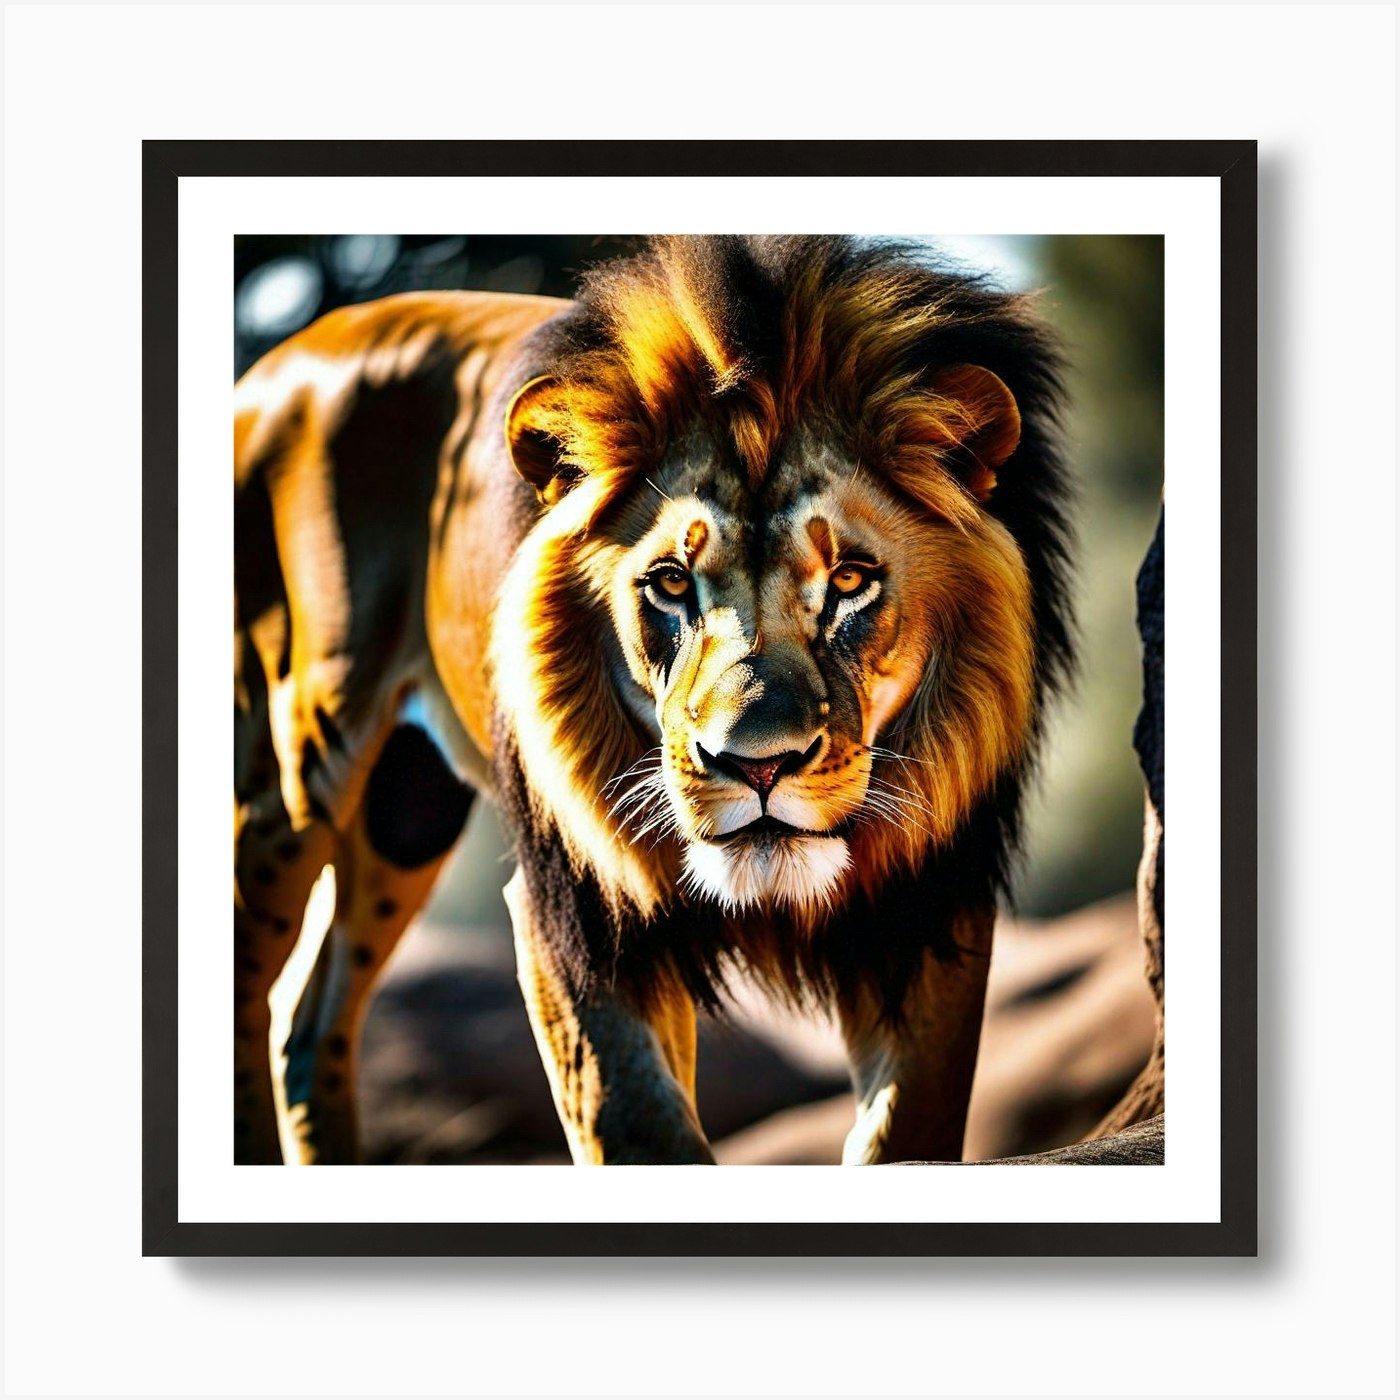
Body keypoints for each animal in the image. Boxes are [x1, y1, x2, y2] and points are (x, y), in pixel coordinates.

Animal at [233, 235, 1073, 1165]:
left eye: (850, 580)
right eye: (671, 584)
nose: (759, 766)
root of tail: (291, 350)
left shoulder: (933, 901)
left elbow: (907, 1127)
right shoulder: (579, 907)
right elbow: (639, 1122)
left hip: (408, 805)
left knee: (310, 1025)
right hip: (294, 768)